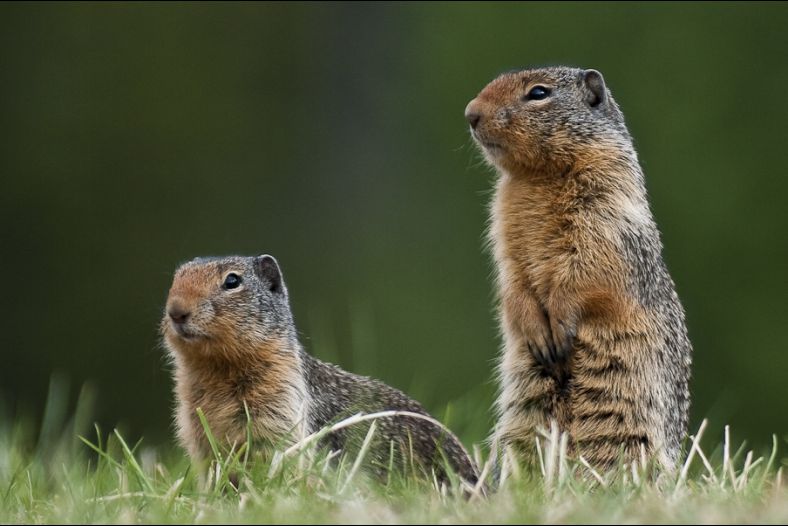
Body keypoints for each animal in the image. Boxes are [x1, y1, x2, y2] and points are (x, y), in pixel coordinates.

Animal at [160, 254, 479, 487]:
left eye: (232, 281)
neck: (218, 368)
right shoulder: (197, 431)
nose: (176, 311)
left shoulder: (282, 409)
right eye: (175, 279)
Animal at [464, 66, 692, 469]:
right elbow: (512, 280)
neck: (537, 177)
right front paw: (538, 332)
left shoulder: (605, 212)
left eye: (539, 93)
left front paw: (561, 323)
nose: (470, 114)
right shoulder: (503, 232)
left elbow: (586, 271)